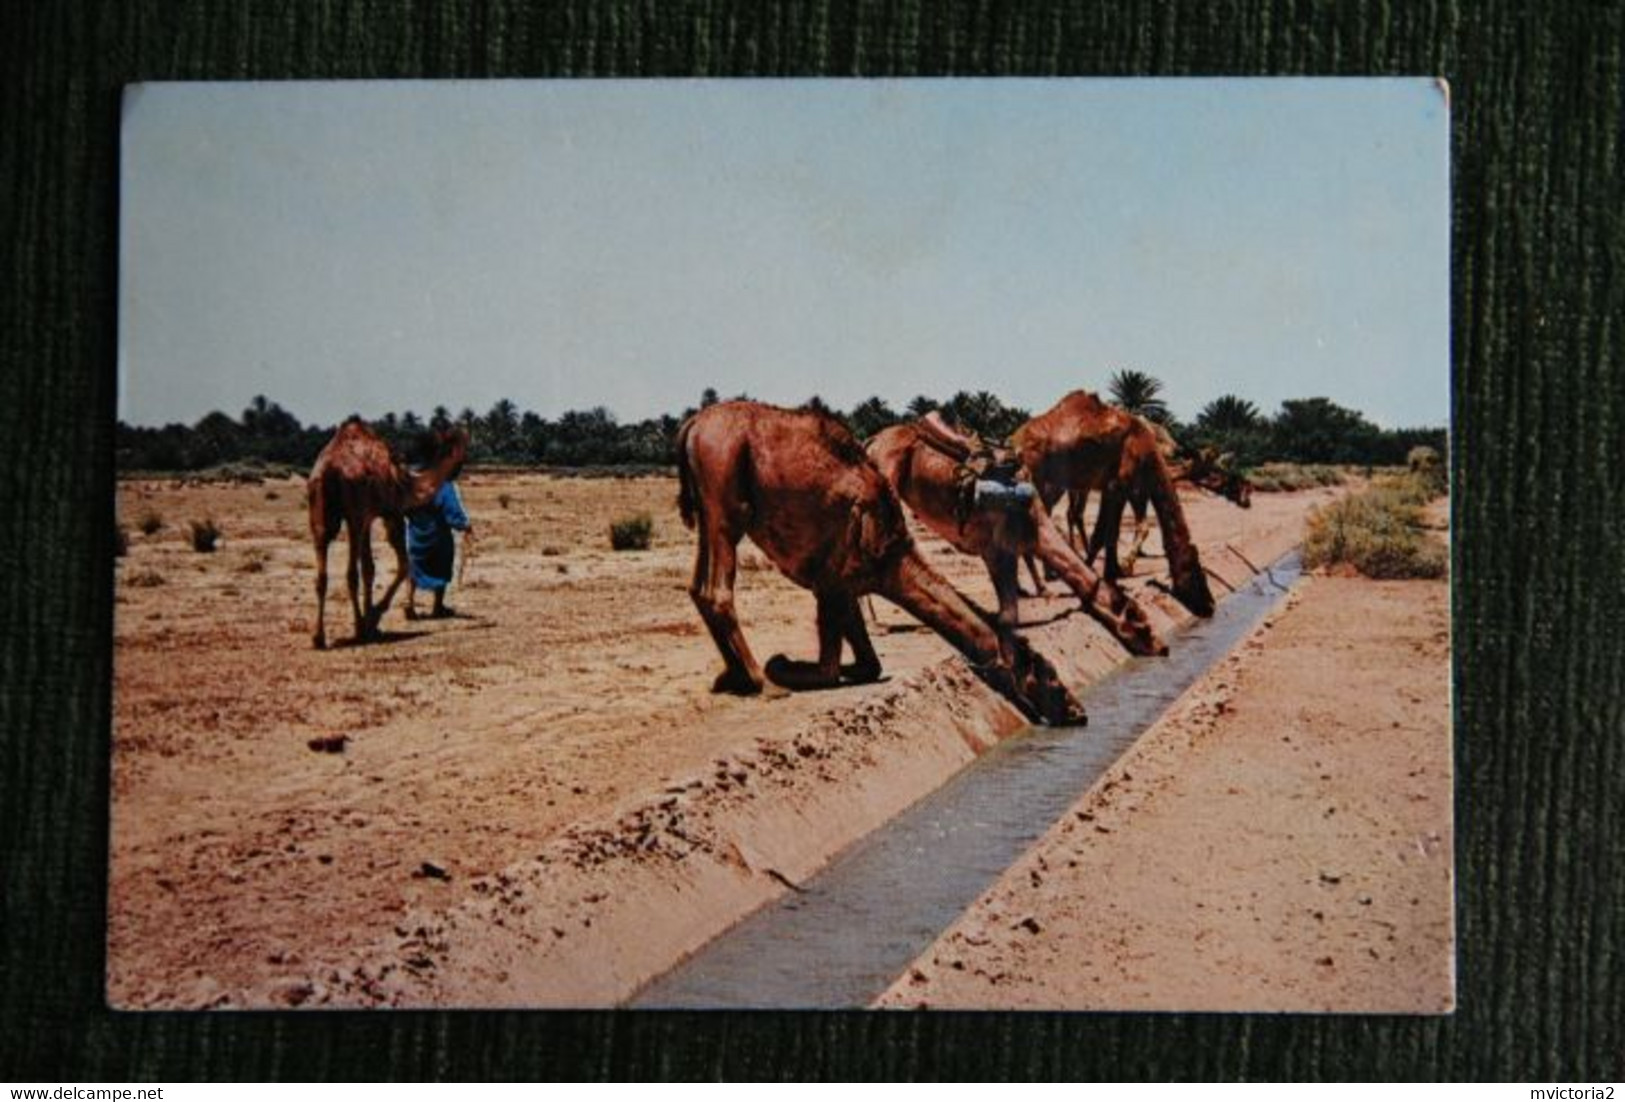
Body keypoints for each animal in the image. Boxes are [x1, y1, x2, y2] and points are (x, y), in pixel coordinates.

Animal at [307, 419, 468, 646]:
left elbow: (369, 569)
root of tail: (328, 470)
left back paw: (318, 637)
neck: (406, 480)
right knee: (351, 574)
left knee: (321, 572)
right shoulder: (391, 512)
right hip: (354, 512)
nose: (458, 469)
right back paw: (359, 628)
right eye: (462, 444)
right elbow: (403, 564)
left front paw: (372, 620)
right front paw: (373, 617)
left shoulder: (368, 517)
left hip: (318, 513)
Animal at [672, 401, 1079, 728]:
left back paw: (733, 676)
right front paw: (782, 665)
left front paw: (845, 667)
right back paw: (762, 681)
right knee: (717, 587)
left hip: (710, 502)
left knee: (698, 587)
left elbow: (870, 663)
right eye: (1051, 680)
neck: (893, 559)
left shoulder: (847, 584)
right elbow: (828, 670)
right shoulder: (832, 583)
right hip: (725, 484)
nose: (1078, 711)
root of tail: (693, 425)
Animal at [864, 414, 1170, 656]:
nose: (1163, 647)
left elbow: (1008, 608)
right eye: (1139, 622)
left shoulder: (999, 549)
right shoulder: (998, 548)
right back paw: (877, 626)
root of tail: (873, 441)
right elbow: (1009, 616)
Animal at [1007, 393, 1215, 620]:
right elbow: (1107, 534)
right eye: (1195, 574)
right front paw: (1105, 578)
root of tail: (1014, 442)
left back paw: (1026, 586)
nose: (1210, 605)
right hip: (1038, 479)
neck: (1145, 446)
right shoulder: (1118, 485)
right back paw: (1040, 587)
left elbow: (1106, 533)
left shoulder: (1115, 488)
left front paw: (1106, 572)